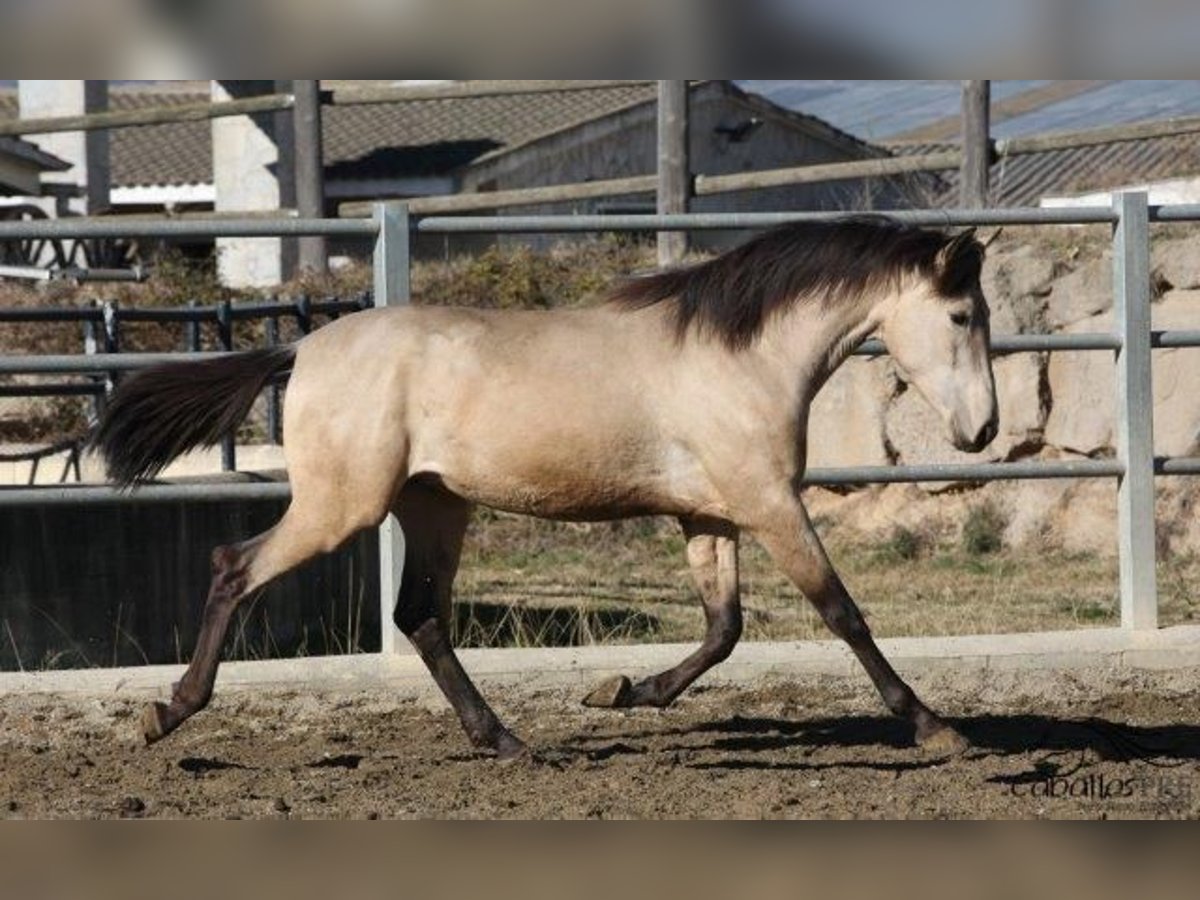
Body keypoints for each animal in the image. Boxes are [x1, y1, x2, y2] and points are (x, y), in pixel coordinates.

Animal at [91, 218, 993, 763]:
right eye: (962, 315)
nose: (982, 431)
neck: (738, 356)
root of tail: (302, 350)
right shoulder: (769, 503)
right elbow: (841, 611)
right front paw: (936, 727)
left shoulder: (709, 514)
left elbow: (724, 629)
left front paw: (620, 691)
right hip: (341, 507)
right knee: (235, 567)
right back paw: (167, 711)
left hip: (434, 504)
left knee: (420, 616)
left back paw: (505, 740)